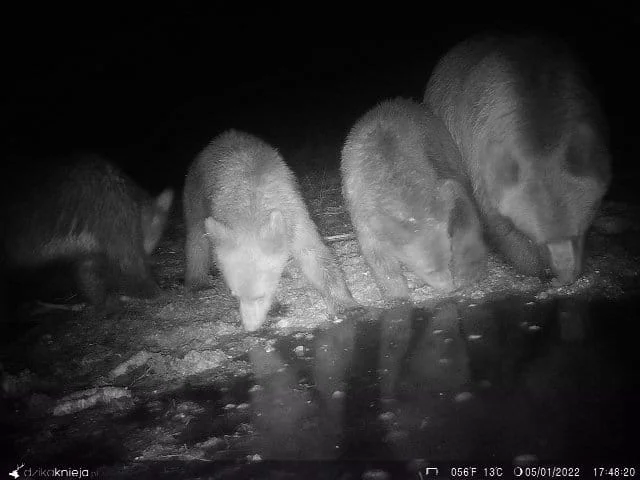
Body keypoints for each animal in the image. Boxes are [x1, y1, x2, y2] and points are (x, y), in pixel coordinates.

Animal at [182, 131, 358, 334]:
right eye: (235, 295)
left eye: (260, 296)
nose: (250, 328)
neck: (251, 209)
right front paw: (275, 306)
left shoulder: (294, 215)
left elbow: (314, 255)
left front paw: (345, 304)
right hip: (196, 195)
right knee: (196, 237)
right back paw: (197, 282)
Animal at [342, 99, 488, 298]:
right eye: (428, 270)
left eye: (448, 257)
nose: (449, 288)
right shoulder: (363, 211)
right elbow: (377, 255)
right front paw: (398, 293)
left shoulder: (440, 179)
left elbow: (463, 210)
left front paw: (467, 271)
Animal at [424, 37, 608, 286]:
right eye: (540, 240)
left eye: (577, 233)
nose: (566, 276)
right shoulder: (480, 156)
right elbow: (497, 221)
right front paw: (532, 267)